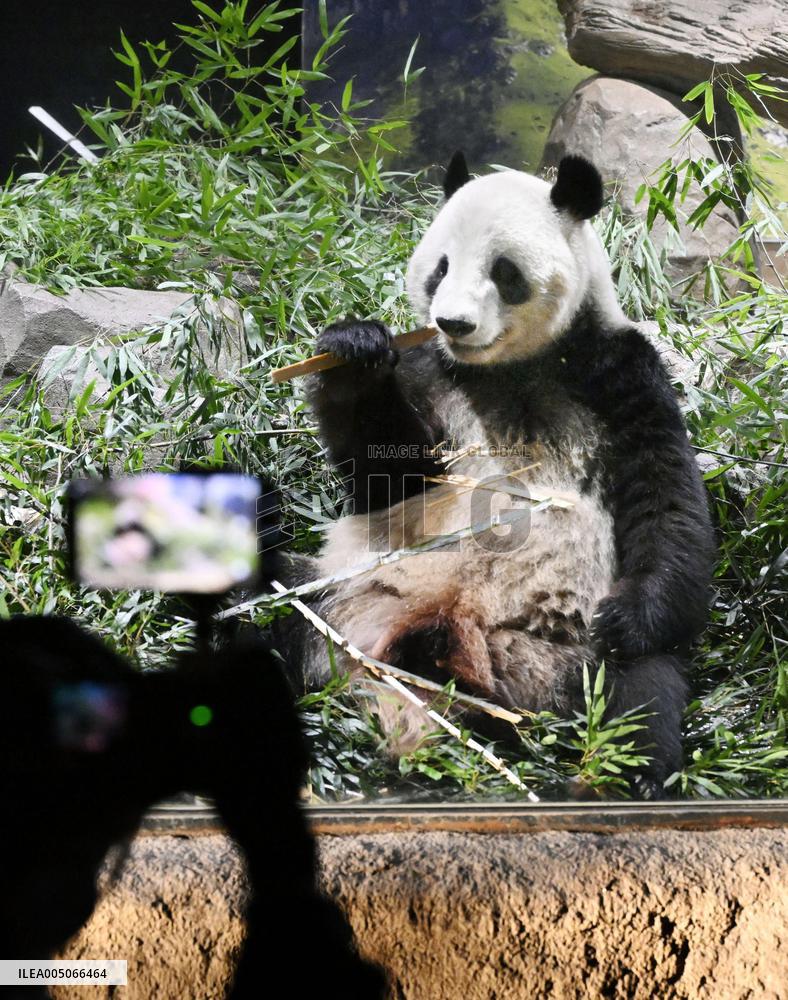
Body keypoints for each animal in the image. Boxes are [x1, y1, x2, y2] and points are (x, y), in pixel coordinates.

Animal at [279, 153, 715, 797]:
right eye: (440, 267)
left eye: (504, 271)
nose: (453, 322)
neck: (506, 367)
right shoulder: (431, 371)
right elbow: (388, 475)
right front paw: (355, 347)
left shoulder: (619, 375)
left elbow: (665, 499)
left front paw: (628, 616)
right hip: (348, 592)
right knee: (259, 595)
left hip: (572, 657)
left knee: (643, 694)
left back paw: (624, 777)